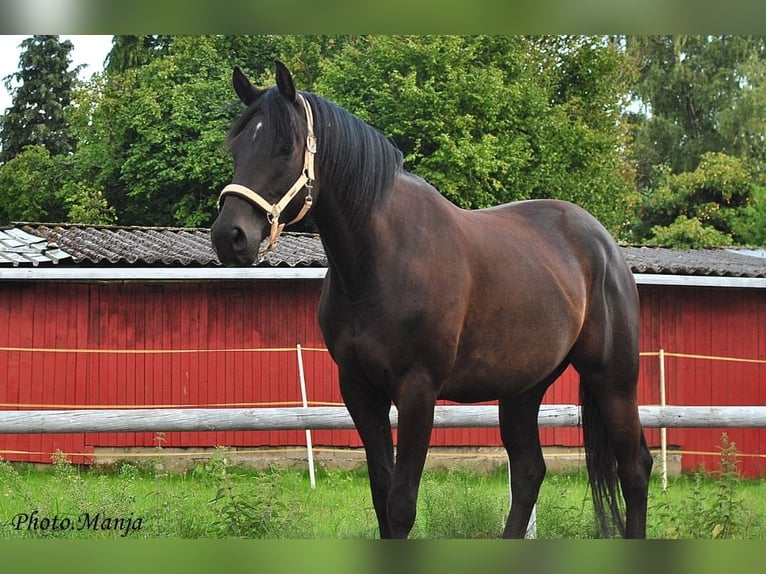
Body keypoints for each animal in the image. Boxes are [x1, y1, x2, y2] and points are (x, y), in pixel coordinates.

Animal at [212, 63, 656, 540]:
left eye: (286, 147)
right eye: (236, 144)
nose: (229, 236)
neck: (380, 261)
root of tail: (603, 243)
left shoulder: (417, 391)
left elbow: (401, 505)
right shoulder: (359, 390)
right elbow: (381, 497)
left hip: (613, 378)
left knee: (635, 468)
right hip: (523, 389)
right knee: (529, 472)